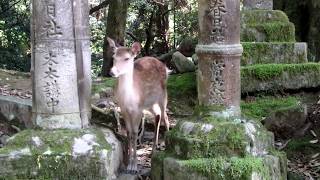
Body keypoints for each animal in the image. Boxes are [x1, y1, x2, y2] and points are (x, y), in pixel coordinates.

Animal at [107, 37, 170, 173]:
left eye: (127, 58)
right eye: (114, 56)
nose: (112, 72)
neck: (129, 98)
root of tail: (165, 66)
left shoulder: (138, 109)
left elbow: (135, 132)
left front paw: (134, 167)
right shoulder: (124, 109)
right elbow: (129, 133)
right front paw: (128, 165)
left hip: (163, 95)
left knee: (165, 117)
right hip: (149, 103)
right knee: (157, 115)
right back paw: (153, 150)